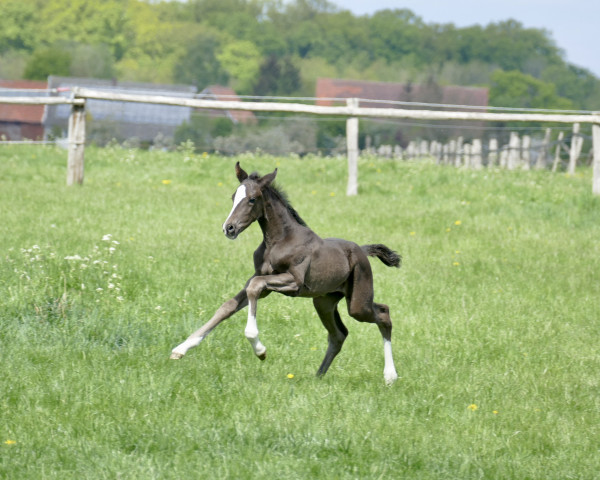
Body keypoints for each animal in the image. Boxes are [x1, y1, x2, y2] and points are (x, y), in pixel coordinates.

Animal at [170, 163, 404, 384]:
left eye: (252, 199)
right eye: (233, 197)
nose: (229, 228)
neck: (278, 240)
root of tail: (362, 250)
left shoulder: (293, 282)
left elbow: (255, 286)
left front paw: (260, 350)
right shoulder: (262, 279)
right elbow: (228, 306)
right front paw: (181, 349)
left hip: (357, 303)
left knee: (383, 313)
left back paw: (390, 376)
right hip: (324, 301)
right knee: (338, 335)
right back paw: (317, 377)